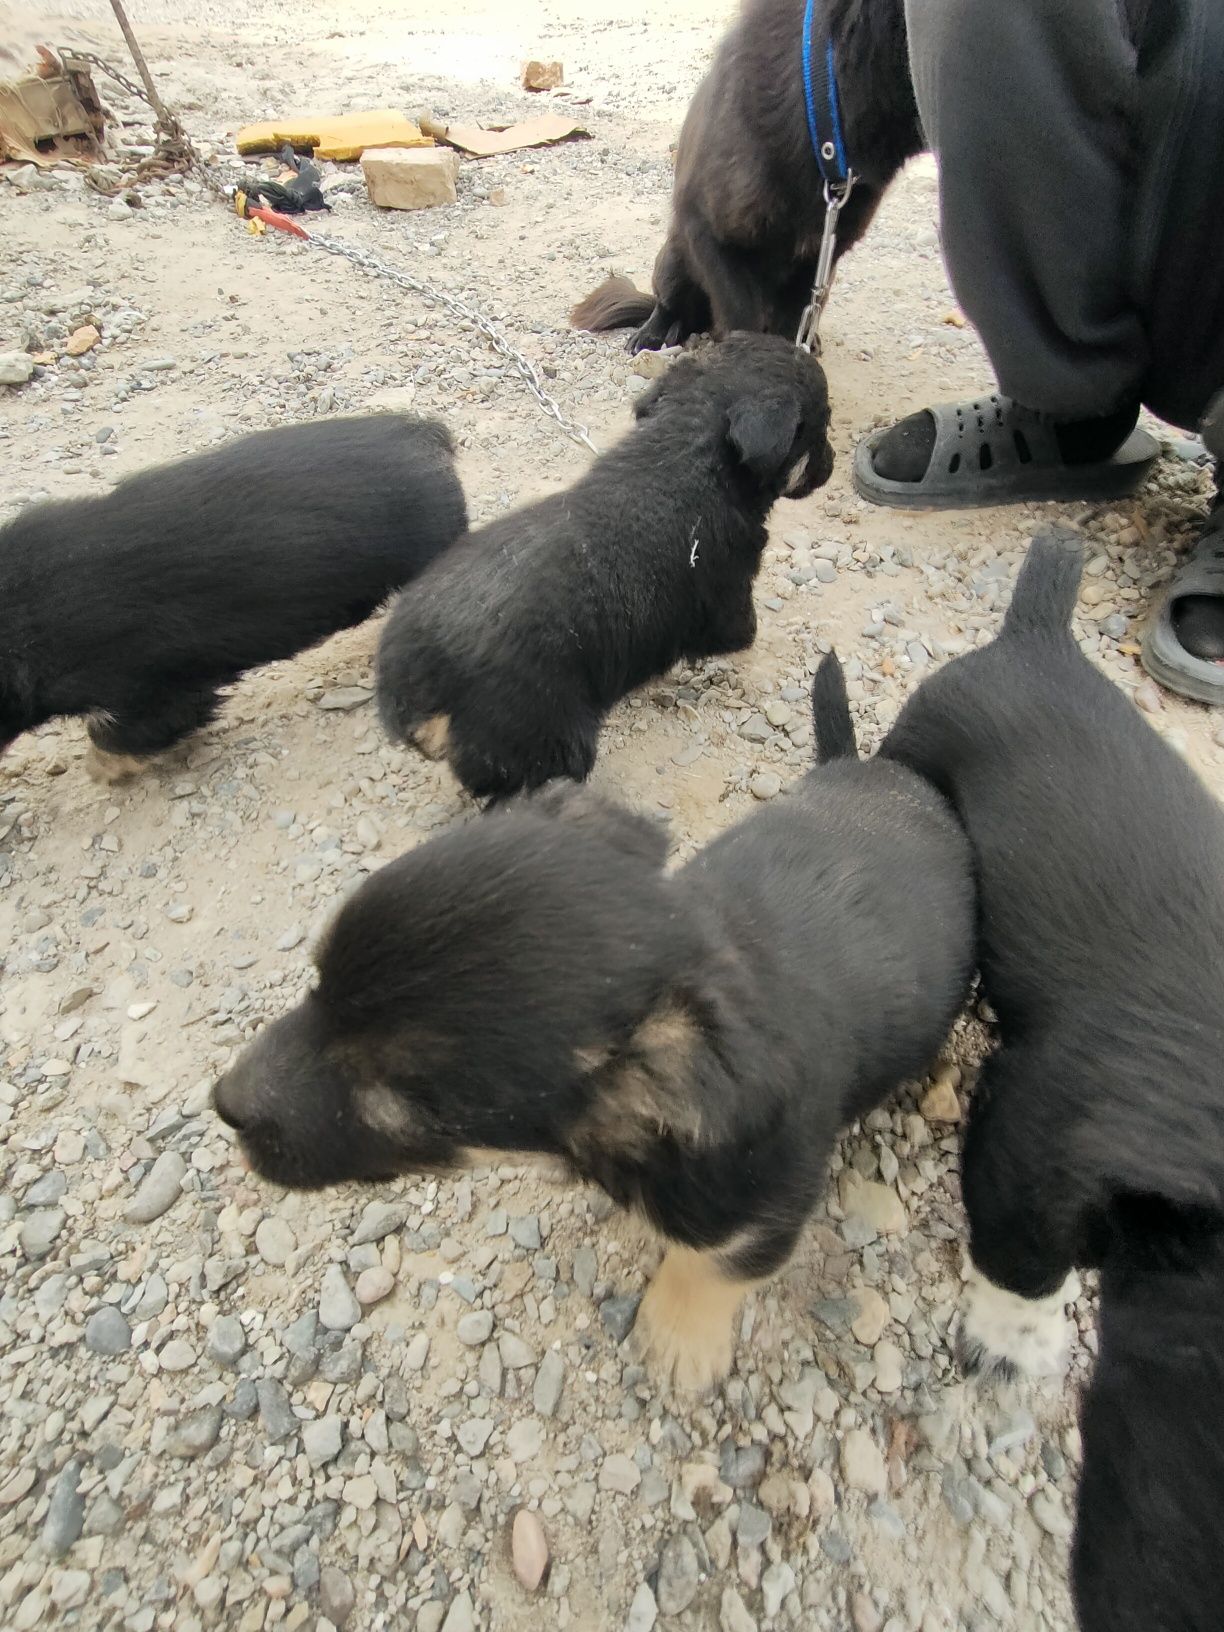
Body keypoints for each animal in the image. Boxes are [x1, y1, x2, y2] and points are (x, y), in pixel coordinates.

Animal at [213, 659, 979, 1390]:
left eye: (404, 1102)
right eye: (317, 984)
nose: (223, 1105)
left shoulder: (762, 1206)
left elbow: (710, 1267)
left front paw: (678, 1340)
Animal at [378, 336, 842, 802]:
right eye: (822, 423)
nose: (833, 462)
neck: (686, 453)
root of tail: (415, 675)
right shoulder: (731, 595)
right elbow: (742, 631)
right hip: (545, 739)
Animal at [571, 0, 926, 354]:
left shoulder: (818, 258)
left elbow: (790, 325)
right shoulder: (707, 234)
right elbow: (743, 318)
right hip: (674, 259)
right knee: (669, 303)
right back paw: (653, 332)